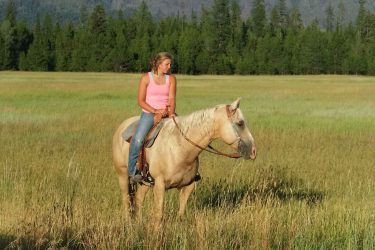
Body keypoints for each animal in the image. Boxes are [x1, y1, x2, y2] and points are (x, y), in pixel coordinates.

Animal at [113, 98, 258, 228]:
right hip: (123, 175)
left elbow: (181, 213)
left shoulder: (188, 186)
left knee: (138, 199)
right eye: (240, 123)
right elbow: (159, 215)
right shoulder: (160, 185)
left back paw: (139, 223)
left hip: (145, 182)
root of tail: (123, 126)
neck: (181, 147)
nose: (254, 150)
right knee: (126, 200)